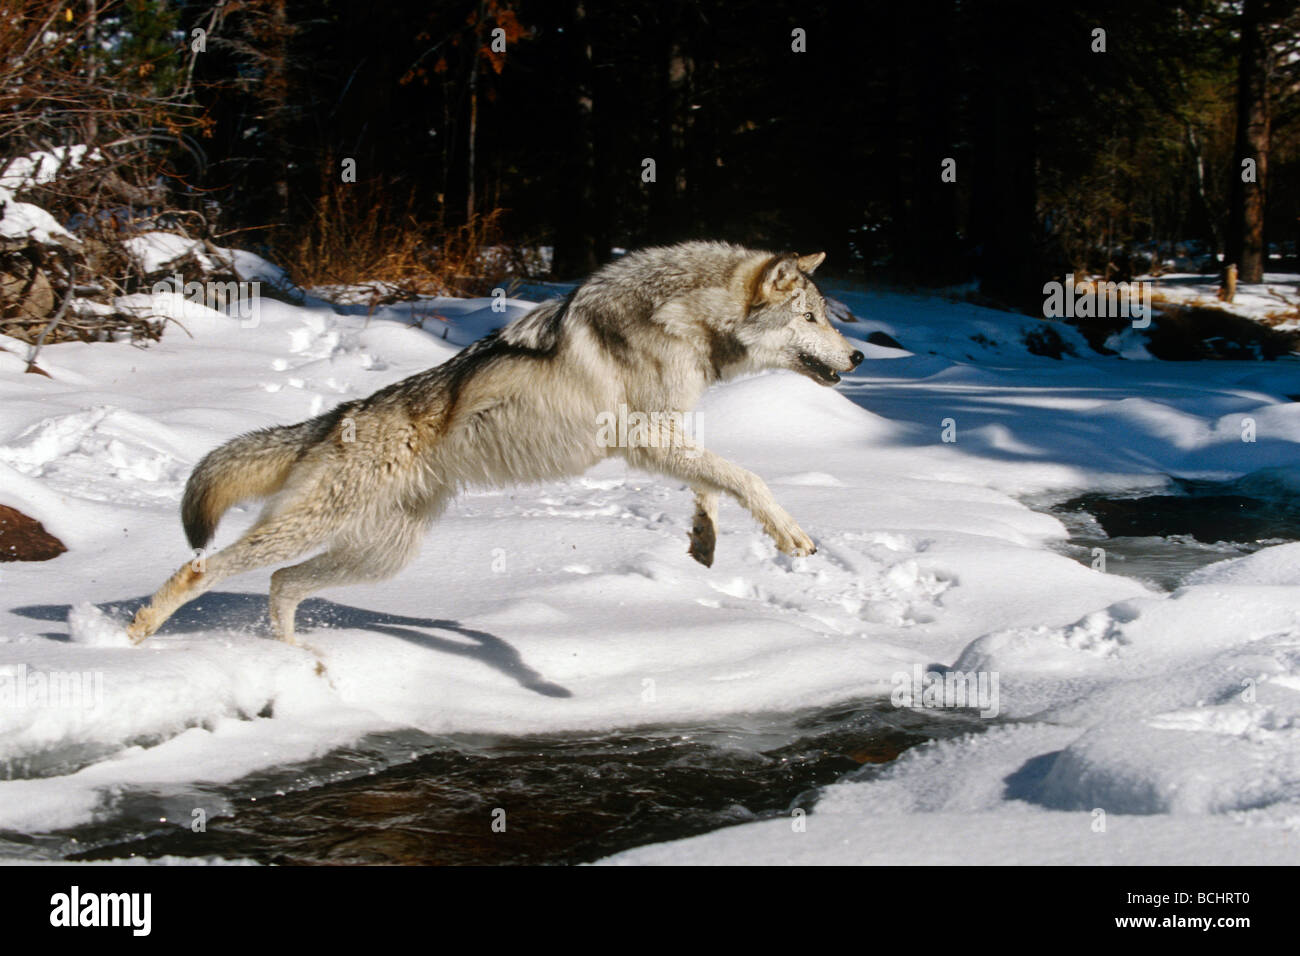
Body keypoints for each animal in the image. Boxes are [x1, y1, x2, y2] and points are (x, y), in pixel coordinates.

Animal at [126, 241, 864, 645]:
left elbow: (709, 482)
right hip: (315, 530)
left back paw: (303, 665)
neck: (686, 320)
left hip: (378, 556)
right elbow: (746, 477)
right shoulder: (645, 436)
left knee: (281, 586)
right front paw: (791, 535)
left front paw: (704, 540)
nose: (858, 356)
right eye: (810, 317)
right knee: (202, 570)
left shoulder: (664, 437)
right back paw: (133, 638)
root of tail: (338, 416)